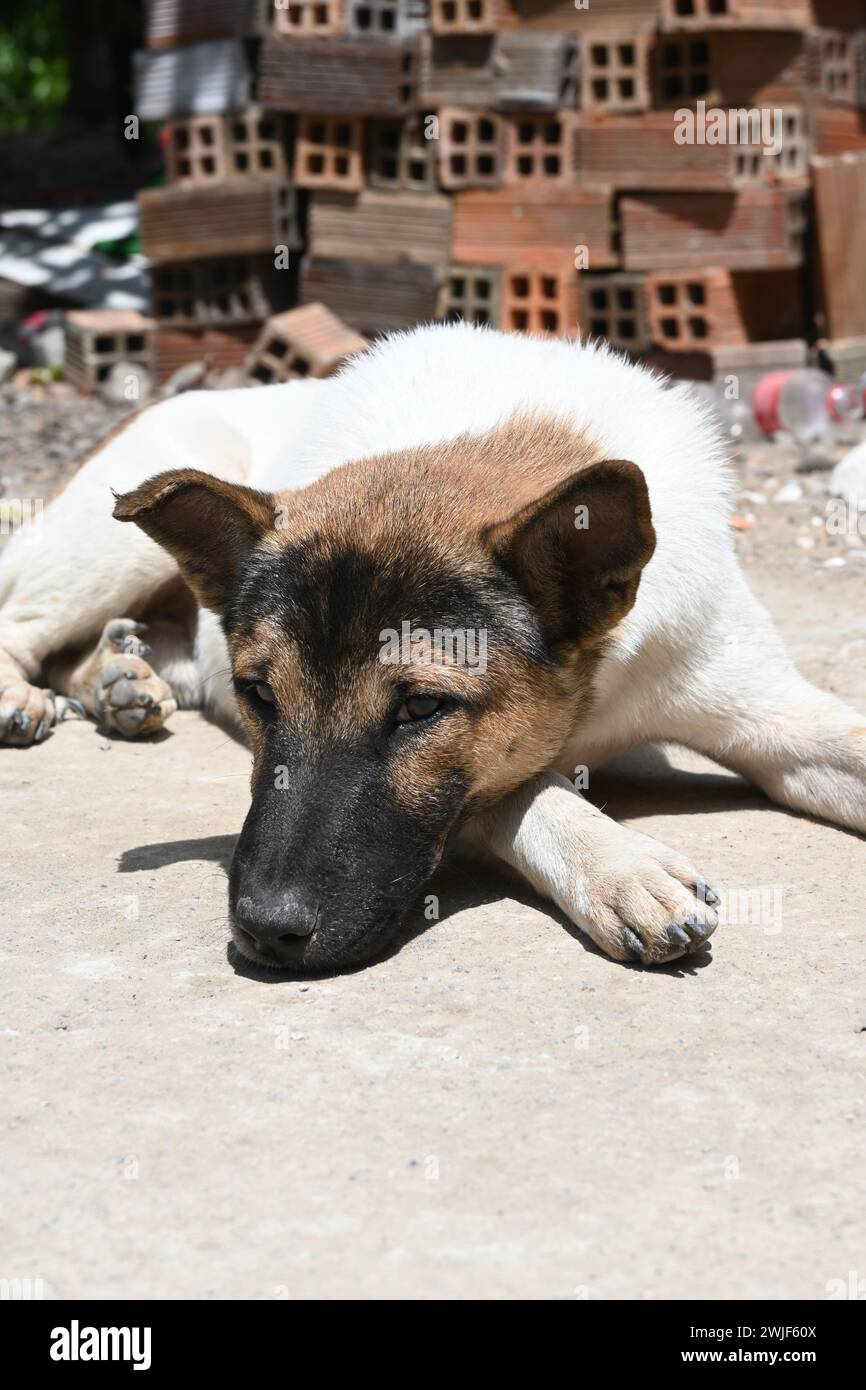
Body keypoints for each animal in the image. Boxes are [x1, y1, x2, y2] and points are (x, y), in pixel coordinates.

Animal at [1, 326, 866, 973]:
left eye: (420, 707)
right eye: (261, 696)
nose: (264, 932)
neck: (597, 699)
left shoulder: (752, 695)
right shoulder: (474, 796)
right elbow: (532, 789)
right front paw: (619, 866)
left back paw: (119, 680)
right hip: (107, 545)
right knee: (22, 620)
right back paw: (28, 696)